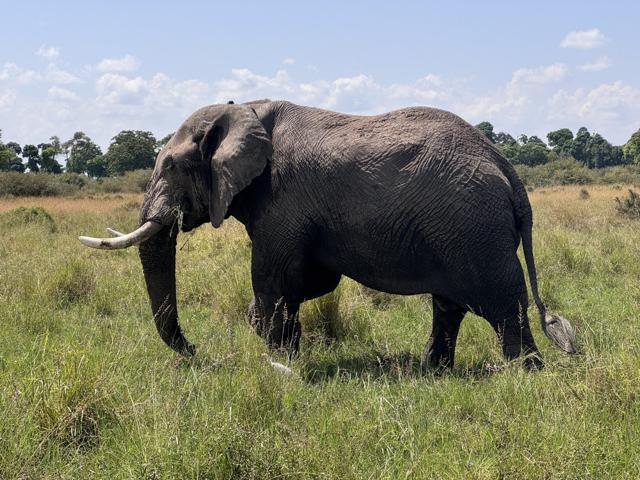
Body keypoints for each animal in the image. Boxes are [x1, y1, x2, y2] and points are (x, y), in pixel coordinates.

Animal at [79, 100, 576, 368]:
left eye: (171, 167)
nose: (196, 350)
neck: (244, 109)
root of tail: (507, 170)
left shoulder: (282, 203)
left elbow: (273, 278)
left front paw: (279, 359)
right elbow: (312, 280)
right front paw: (283, 347)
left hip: (473, 227)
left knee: (502, 303)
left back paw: (524, 372)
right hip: (458, 227)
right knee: (449, 306)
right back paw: (433, 371)